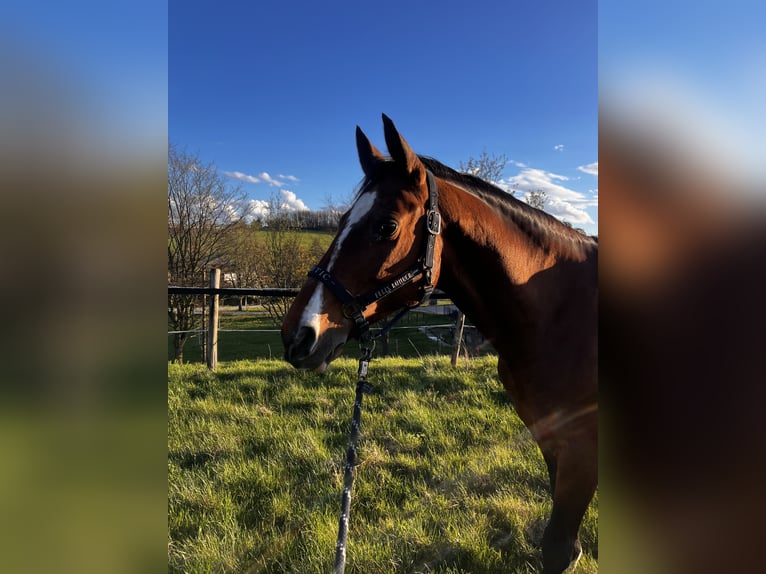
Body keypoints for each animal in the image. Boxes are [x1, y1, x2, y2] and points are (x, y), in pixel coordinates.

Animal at [282, 115, 600, 572]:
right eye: (340, 219)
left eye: (386, 226)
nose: (298, 335)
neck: (560, 313)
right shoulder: (550, 439)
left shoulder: (581, 449)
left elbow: (558, 547)